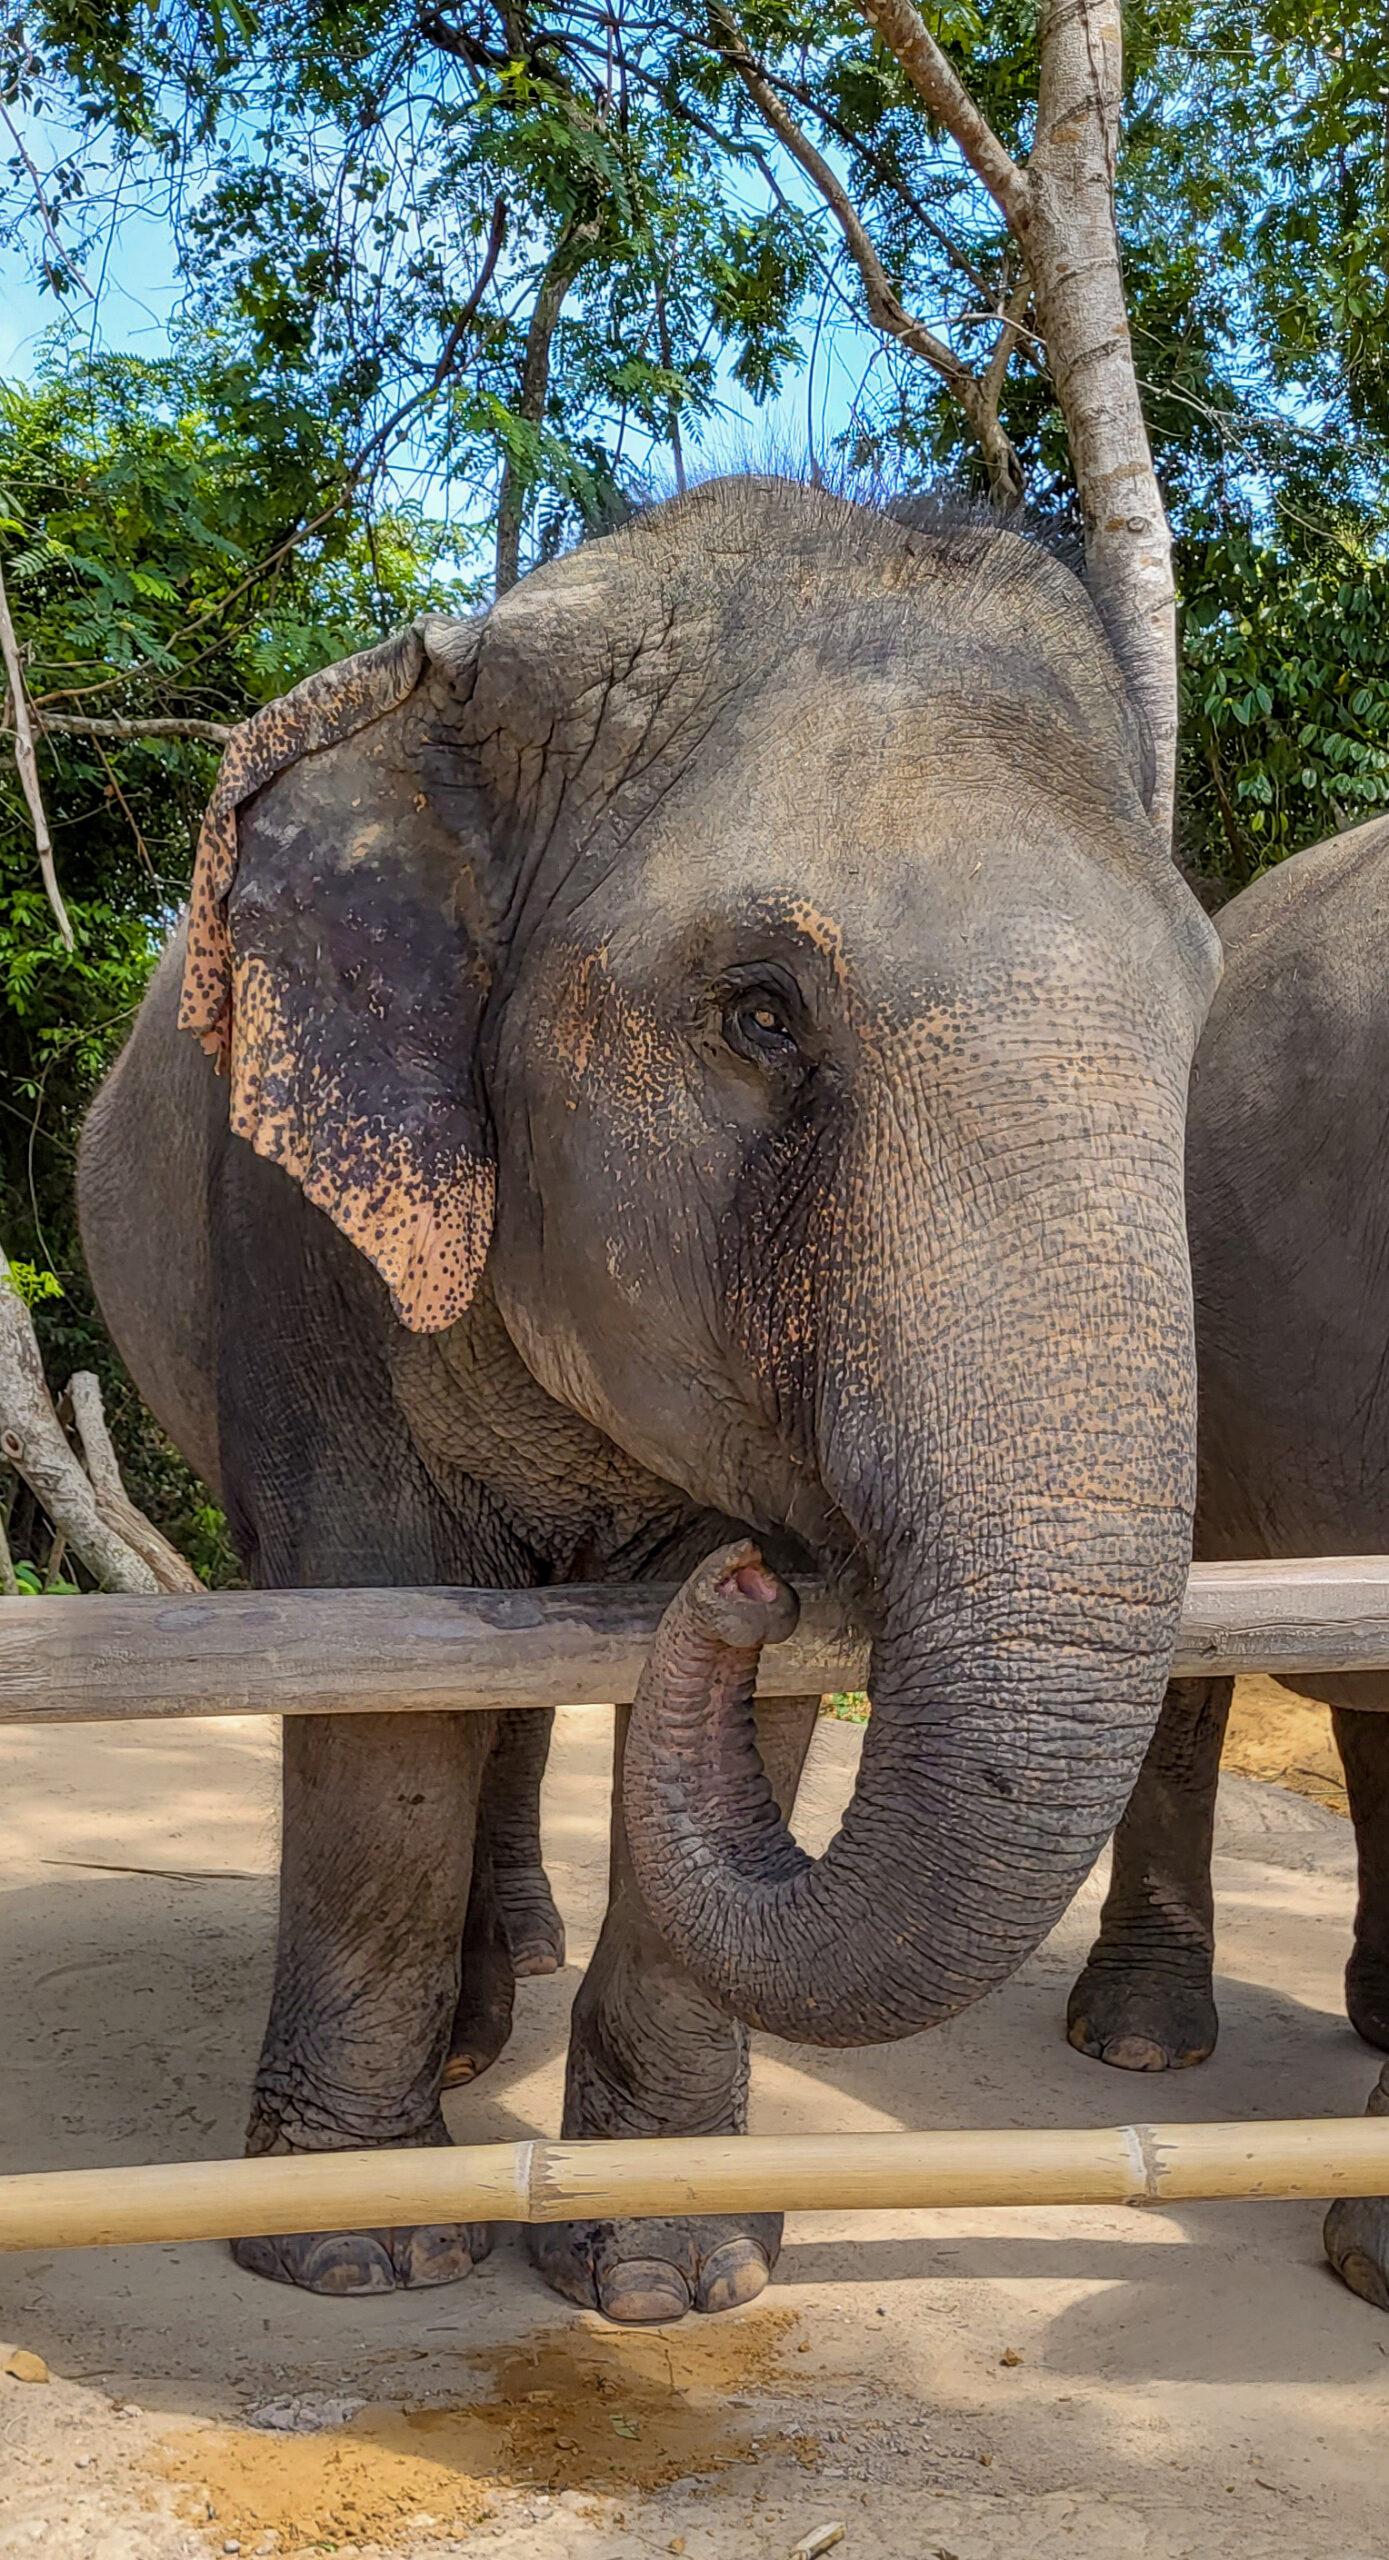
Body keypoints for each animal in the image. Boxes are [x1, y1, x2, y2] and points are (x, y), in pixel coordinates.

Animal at [76, 476, 1217, 2324]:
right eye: (760, 1013)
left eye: (1201, 1007)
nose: (746, 1576)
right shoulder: (297, 1223)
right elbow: (374, 1654)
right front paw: (362, 2256)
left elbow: (755, 1710)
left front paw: (677, 2280)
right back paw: (470, 2050)